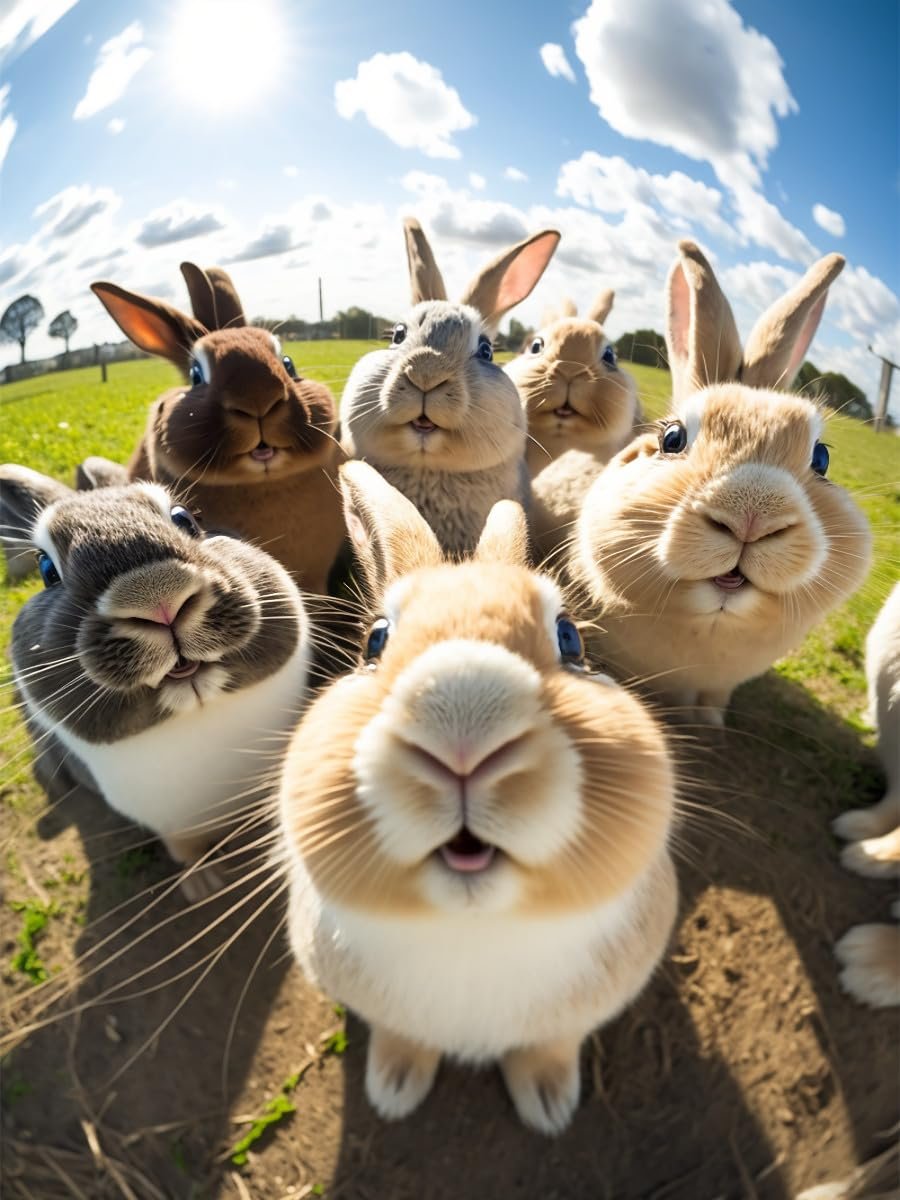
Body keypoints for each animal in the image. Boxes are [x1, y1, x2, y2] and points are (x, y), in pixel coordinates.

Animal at [10, 473, 312, 900]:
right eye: (47, 568)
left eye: (186, 519)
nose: (158, 598)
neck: (198, 717)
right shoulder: (172, 825)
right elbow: (185, 850)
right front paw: (203, 884)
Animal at [277, 460, 678, 1135]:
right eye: (374, 642)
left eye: (570, 639)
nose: (463, 704)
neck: (473, 929)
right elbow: (402, 1038)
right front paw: (394, 1089)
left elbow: (548, 1048)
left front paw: (549, 1105)